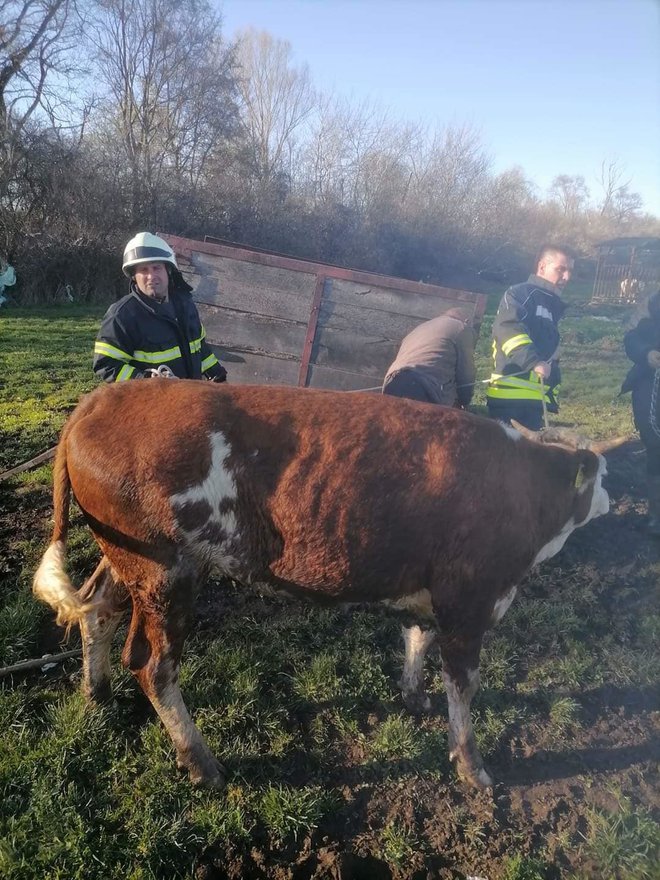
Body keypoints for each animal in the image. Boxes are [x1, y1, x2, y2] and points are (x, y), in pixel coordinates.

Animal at [33, 384, 620, 792]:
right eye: (601, 474)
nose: (612, 499)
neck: (523, 490)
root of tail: (99, 400)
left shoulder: (429, 588)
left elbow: (417, 637)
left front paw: (414, 697)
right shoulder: (470, 598)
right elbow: (464, 686)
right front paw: (473, 769)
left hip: (128, 558)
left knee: (96, 609)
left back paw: (96, 693)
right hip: (166, 571)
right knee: (153, 665)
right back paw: (202, 763)